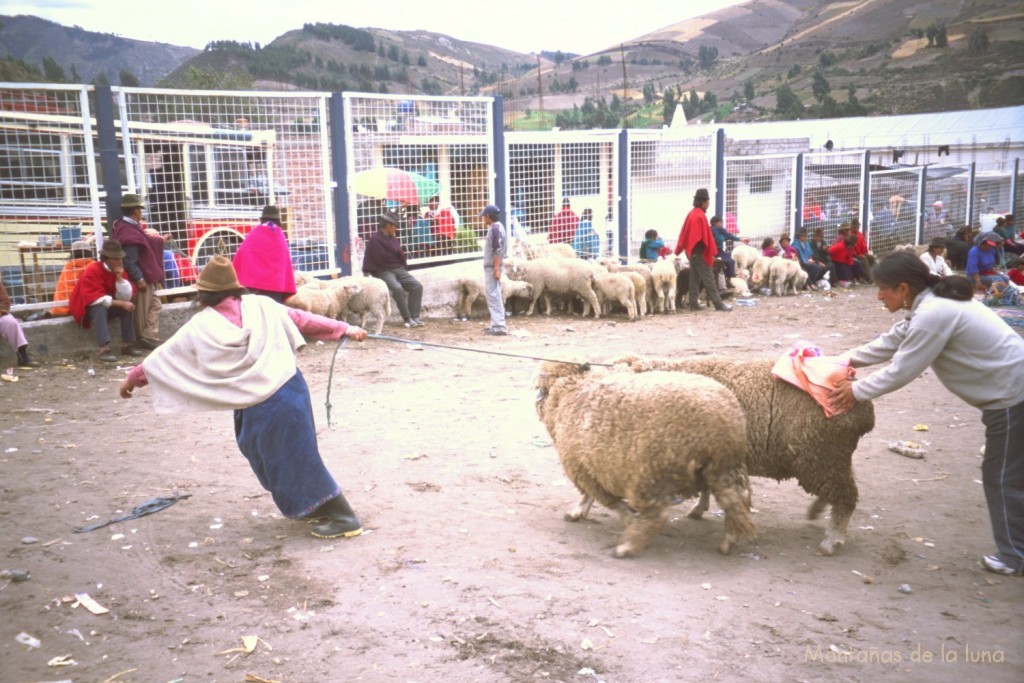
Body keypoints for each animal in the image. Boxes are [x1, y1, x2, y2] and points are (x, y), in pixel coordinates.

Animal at [532, 360, 757, 557]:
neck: (573, 389)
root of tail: (721, 419)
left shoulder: (584, 468)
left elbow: (611, 503)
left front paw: (626, 520)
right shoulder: (591, 466)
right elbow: (592, 495)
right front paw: (578, 511)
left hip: (650, 473)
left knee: (658, 515)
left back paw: (627, 547)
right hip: (722, 467)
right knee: (737, 500)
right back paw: (729, 541)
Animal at [610, 358, 876, 557]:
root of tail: (865, 412)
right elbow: (707, 488)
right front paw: (699, 508)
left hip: (820, 457)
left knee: (846, 496)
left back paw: (832, 541)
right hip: (830, 458)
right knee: (844, 486)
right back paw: (817, 511)